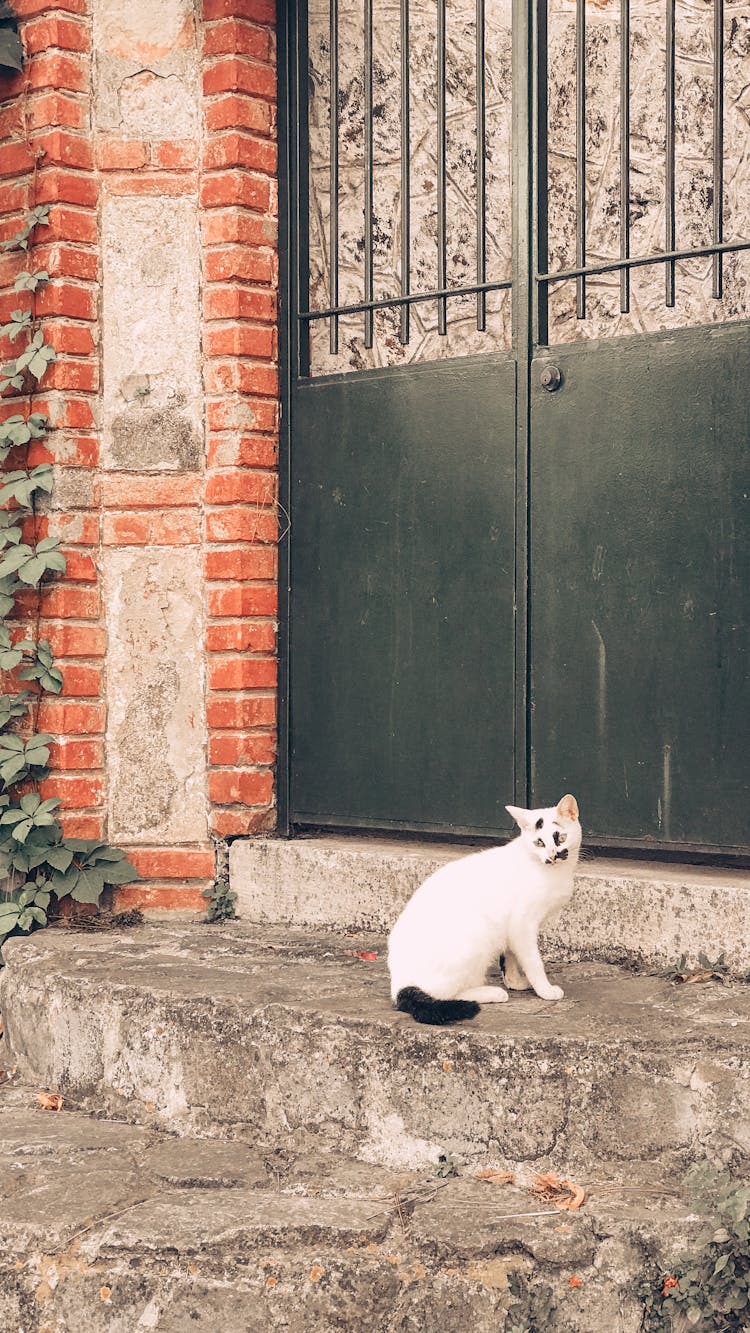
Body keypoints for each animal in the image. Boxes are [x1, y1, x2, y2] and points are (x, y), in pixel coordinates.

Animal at [386, 794, 580, 1023]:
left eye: (560, 838)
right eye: (539, 842)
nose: (551, 856)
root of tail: (399, 985)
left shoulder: (510, 929)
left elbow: (510, 957)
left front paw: (515, 982)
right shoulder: (522, 924)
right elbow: (533, 961)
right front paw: (545, 990)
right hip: (475, 938)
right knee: (444, 993)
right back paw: (491, 993)